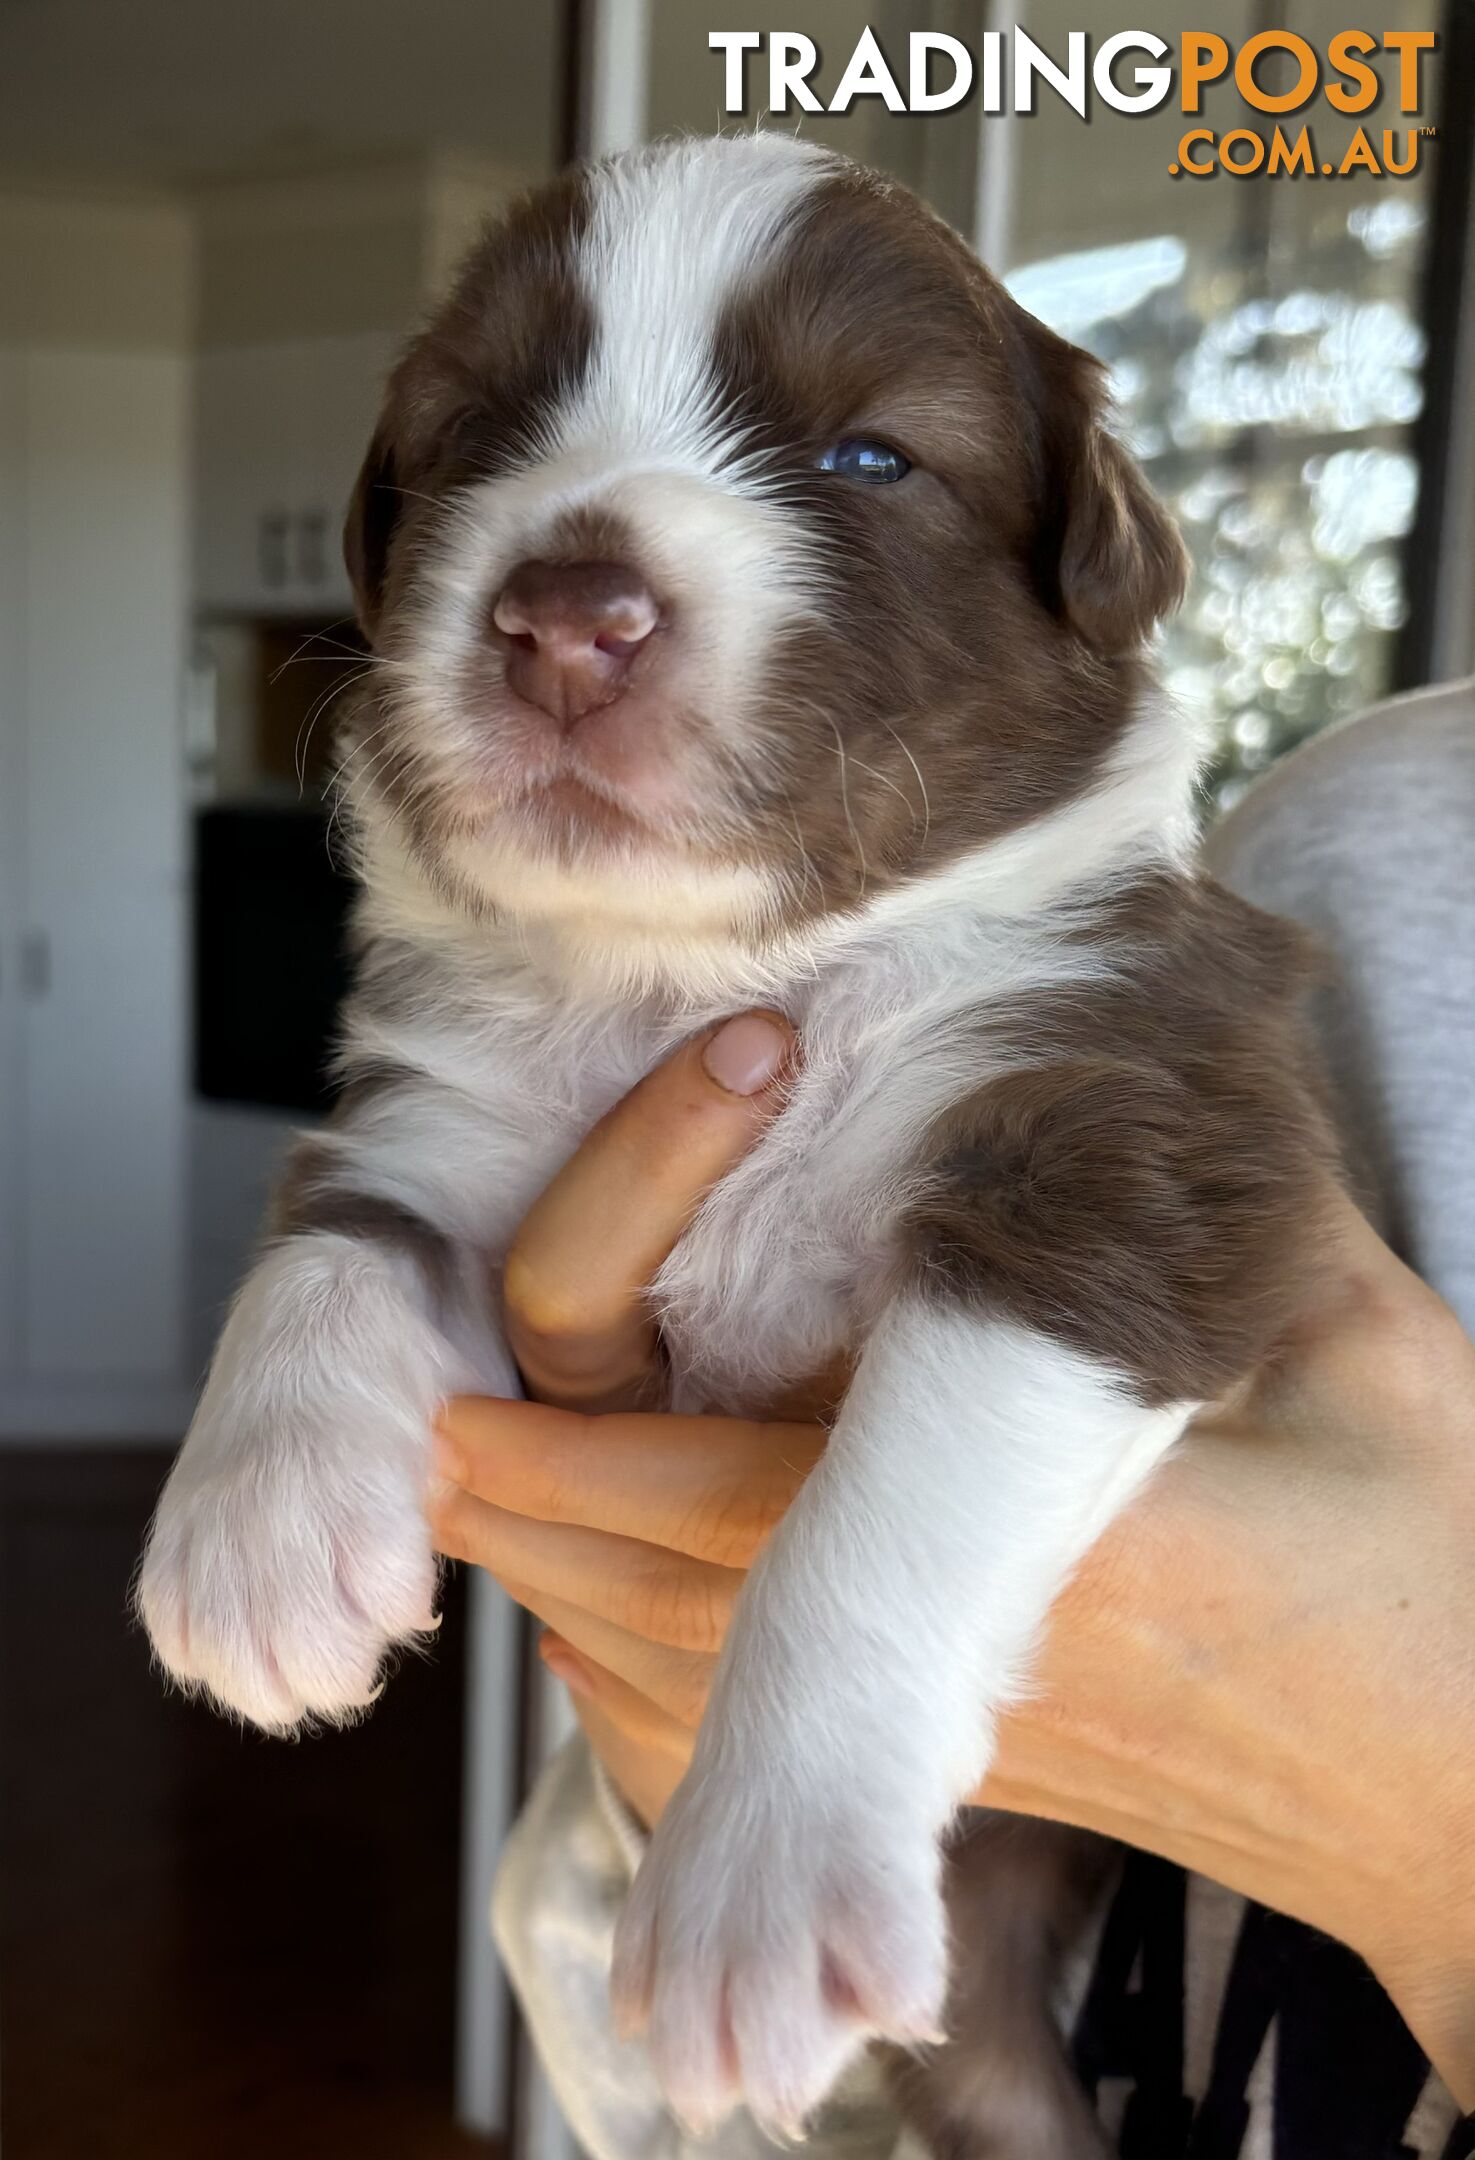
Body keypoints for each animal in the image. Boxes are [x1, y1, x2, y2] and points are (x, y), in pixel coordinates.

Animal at [141, 143, 1338, 2151]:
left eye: (868, 457)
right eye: (477, 434)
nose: (568, 615)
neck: (709, 978)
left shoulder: (1136, 1144)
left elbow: (889, 1493)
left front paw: (762, 1884)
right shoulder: (461, 1117)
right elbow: (334, 1236)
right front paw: (257, 1527)